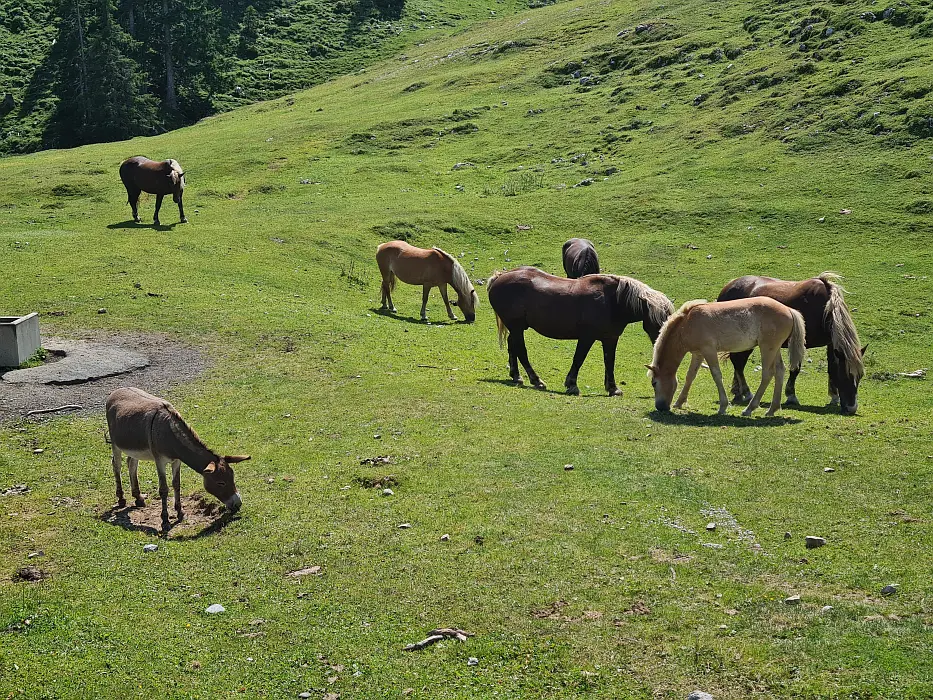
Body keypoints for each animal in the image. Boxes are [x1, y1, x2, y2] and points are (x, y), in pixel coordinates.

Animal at [105, 388, 248, 532]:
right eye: (221, 483)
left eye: (232, 478)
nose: (238, 504)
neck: (169, 433)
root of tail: (117, 390)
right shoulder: (159, 461)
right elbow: (163, 489)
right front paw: (165, 521)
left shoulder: (177, 461)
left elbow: (176, 484)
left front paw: (180, 513)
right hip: (115, 444)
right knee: (116, 465)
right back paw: (121, 498)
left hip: (134, 449)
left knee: (131, 464)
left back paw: (138, 498)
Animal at [488, 268, 668, 396]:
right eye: (657, 321)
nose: (662, 343)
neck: (612, 301)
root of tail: (500, 277)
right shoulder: (587, 337)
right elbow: (579, 359)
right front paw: (572, 384)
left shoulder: (610, 338)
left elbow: (609, 362)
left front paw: (612, 388)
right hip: (517, 327)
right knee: (521, 350)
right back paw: (536, 380)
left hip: (516, 328)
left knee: (513, 346)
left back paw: (516, 376)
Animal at [644, 296, 804, 416]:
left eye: (654, 383)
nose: (660, 407)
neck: (688, 324)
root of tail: (788, 310)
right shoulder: (698, 353)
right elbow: (690, 376)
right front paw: (679, 402)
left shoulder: (709, 350)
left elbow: (716, 375)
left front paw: (723, 407)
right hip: (774, 349)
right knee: (780, 371)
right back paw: (772, 410)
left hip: (767, 348)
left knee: (767, 374)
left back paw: (749, 409)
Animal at [720, 272, 868, 416]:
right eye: (845, 375)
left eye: (860, 376)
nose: (851, 408)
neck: (824, 309)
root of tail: (728, 286)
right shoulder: (800, 342)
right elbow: (795, 369)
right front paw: (791, 395)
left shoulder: (831, 343)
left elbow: (831, 367)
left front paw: (834, 396)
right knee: (738, 363)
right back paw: (746, 392)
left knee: (738, 362)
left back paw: (738, 392)